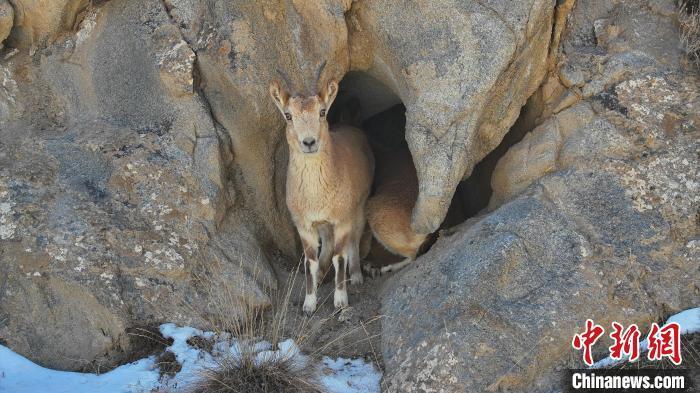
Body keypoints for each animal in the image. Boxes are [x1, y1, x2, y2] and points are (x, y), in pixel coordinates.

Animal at [270, 79, 374, 312]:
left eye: (322, 111)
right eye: (288, 115)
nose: (309, 142)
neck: (315, 196)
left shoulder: (342, 219)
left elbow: (340, 257)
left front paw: (341, 300)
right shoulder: (305, 224)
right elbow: (310, 261)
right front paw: (309, 303)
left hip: (359, 206)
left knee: (354, 238)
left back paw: (356, 275)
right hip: (324, 224)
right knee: (326, 244)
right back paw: (320, 277)